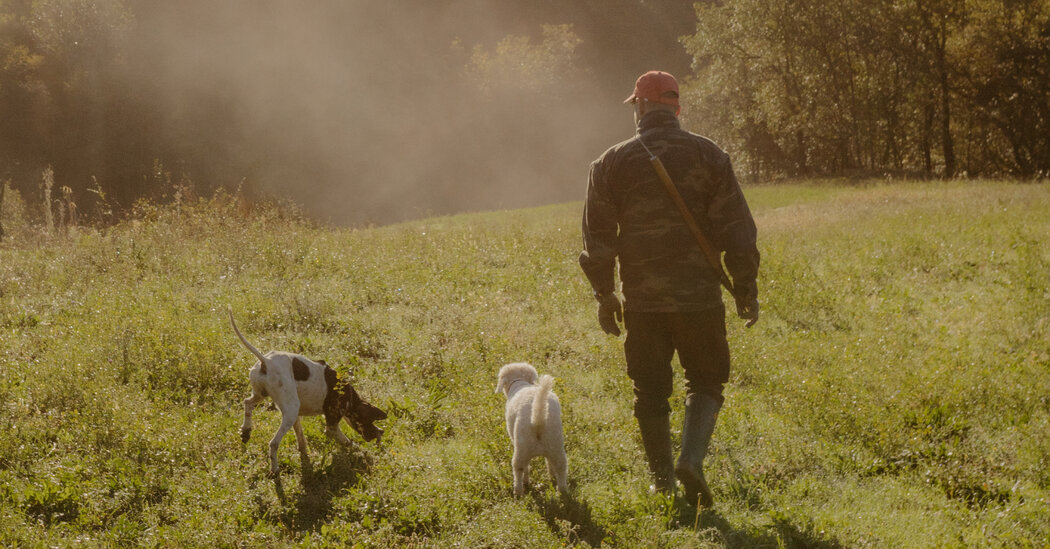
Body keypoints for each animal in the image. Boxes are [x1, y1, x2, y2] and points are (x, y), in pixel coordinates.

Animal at [229, 308, 386, 476]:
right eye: (370, 419)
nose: (380, 432)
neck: (349, 396)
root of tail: (266, 361)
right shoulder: (331, 426)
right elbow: (347, 442)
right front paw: (358, 451)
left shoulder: (298, 417)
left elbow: (300, 437)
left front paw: (304, 454)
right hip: (289, 411)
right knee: (273, 443)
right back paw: (274, 469)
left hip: (262, 396)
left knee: (247, 403)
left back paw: (246, 431)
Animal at [495, 363, 571, 495]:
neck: (520, 383)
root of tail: (538, 420)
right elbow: (549, 463)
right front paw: (551, 475)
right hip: (555, 445)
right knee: (561, 466)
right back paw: (562, 491)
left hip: (522, 448)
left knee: (519, 468)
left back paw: (519, 491)